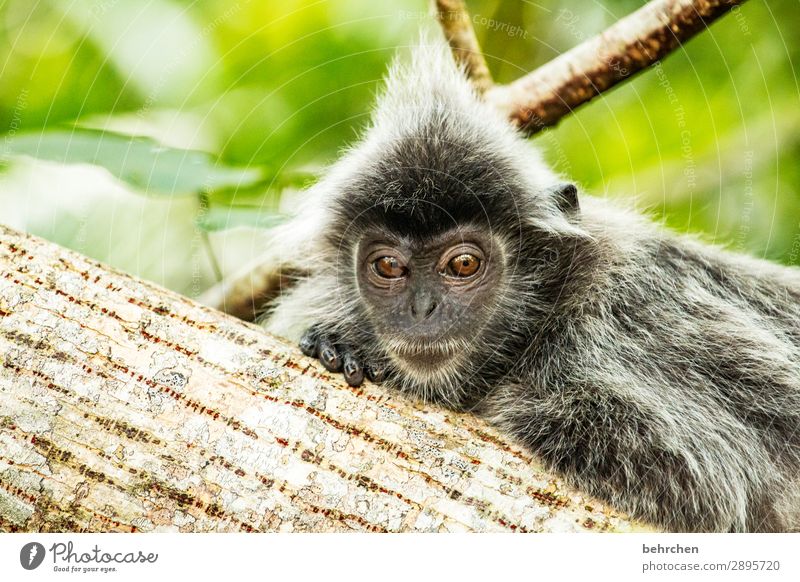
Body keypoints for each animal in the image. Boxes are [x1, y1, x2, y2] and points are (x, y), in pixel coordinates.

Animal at [245, 41, 800, 532]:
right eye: (388, 267)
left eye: (463, 264)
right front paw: (335, 344)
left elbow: (702, 478)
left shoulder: (626, 325)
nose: (422, 309)